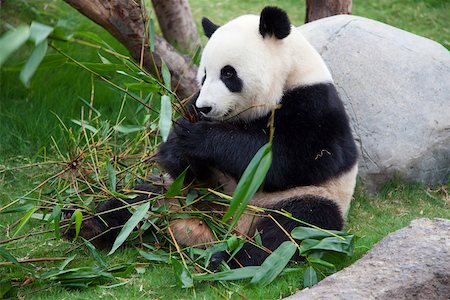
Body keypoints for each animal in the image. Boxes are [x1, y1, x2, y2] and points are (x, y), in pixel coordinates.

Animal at [64, 6, 358, 268]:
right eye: (204, 75)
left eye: (228, 73)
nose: (205, 108)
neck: (290, 74)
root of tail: (220, 228)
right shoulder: (191, 106)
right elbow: (179, 162)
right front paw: (178, 145)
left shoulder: (315, 106)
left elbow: (287, 160)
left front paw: (199, 138)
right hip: (181, 192)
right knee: (138, 201)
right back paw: (86, 224)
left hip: (306, 199)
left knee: (291, 229)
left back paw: (229, 261)